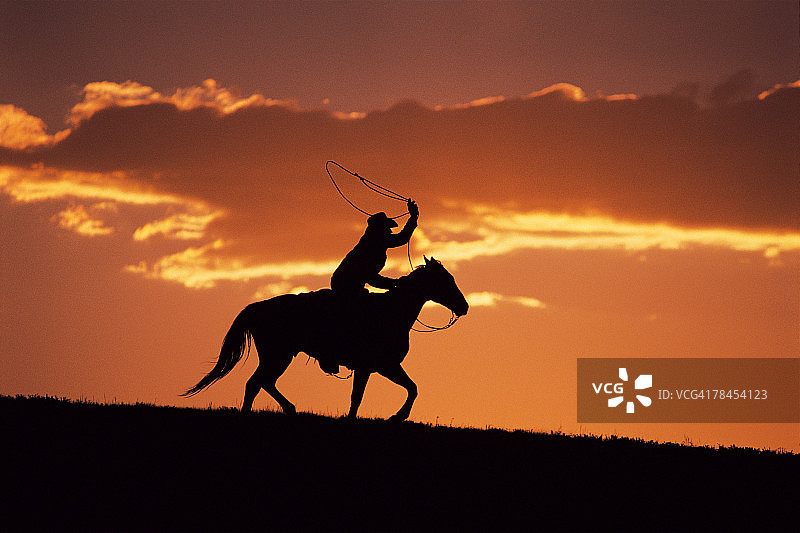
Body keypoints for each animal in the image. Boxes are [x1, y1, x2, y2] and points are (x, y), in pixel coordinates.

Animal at [181, 257, 469, 421]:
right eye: (446, 280)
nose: (464, 306)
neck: (391, 312)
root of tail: (258, 307)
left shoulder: (382, 367)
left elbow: (410, 388)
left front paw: (393, 417)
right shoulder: (376, 366)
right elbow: (364, 396)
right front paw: (394, 417)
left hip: (279, 357)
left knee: (264, 383)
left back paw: (290, 409)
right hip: (277, 356)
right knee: (255, 383)